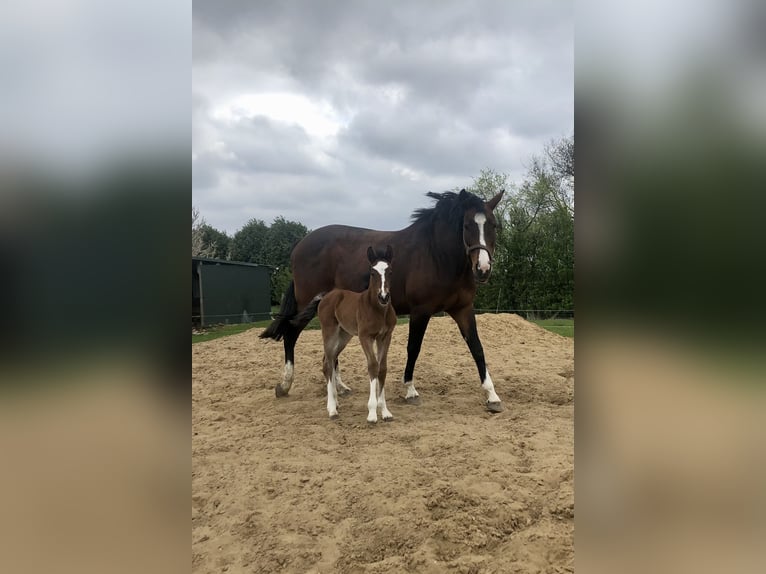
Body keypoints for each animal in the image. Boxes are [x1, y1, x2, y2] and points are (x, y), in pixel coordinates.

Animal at [291, 245, 396, 422]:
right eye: (372, 272)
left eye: (389, 271)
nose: (383, 296)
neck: (377, 309)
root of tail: (326, 296)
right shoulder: (365, 337)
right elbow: (372, 366)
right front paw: (372, 413)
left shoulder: (385, 337)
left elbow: (382, 368)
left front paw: (385, 411)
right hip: (329, 332)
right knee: (327, 364)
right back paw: (332, 408)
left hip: (344, 336)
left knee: (330, 360)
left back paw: (336, 401)